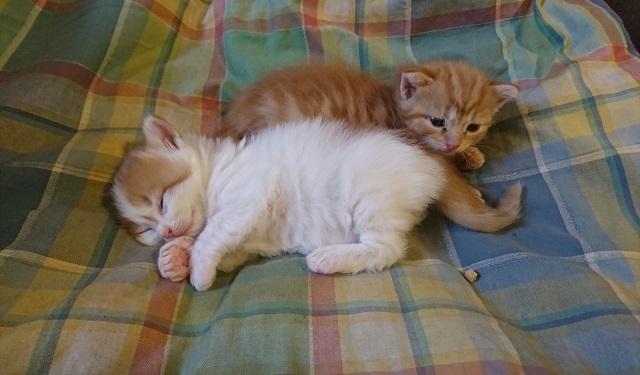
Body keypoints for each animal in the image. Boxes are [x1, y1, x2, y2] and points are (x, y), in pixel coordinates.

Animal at [111, 116, 450, 292]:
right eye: (146, 230)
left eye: (162, 200)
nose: (166, 232)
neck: (218, 172)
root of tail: (431, 169)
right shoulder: (243, 241)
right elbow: (221, 248)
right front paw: (174, 257)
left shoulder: (246, 197)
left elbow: (210, 236)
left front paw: (197, 270)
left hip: (371, 200)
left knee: (386, 250)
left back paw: (328, 258)